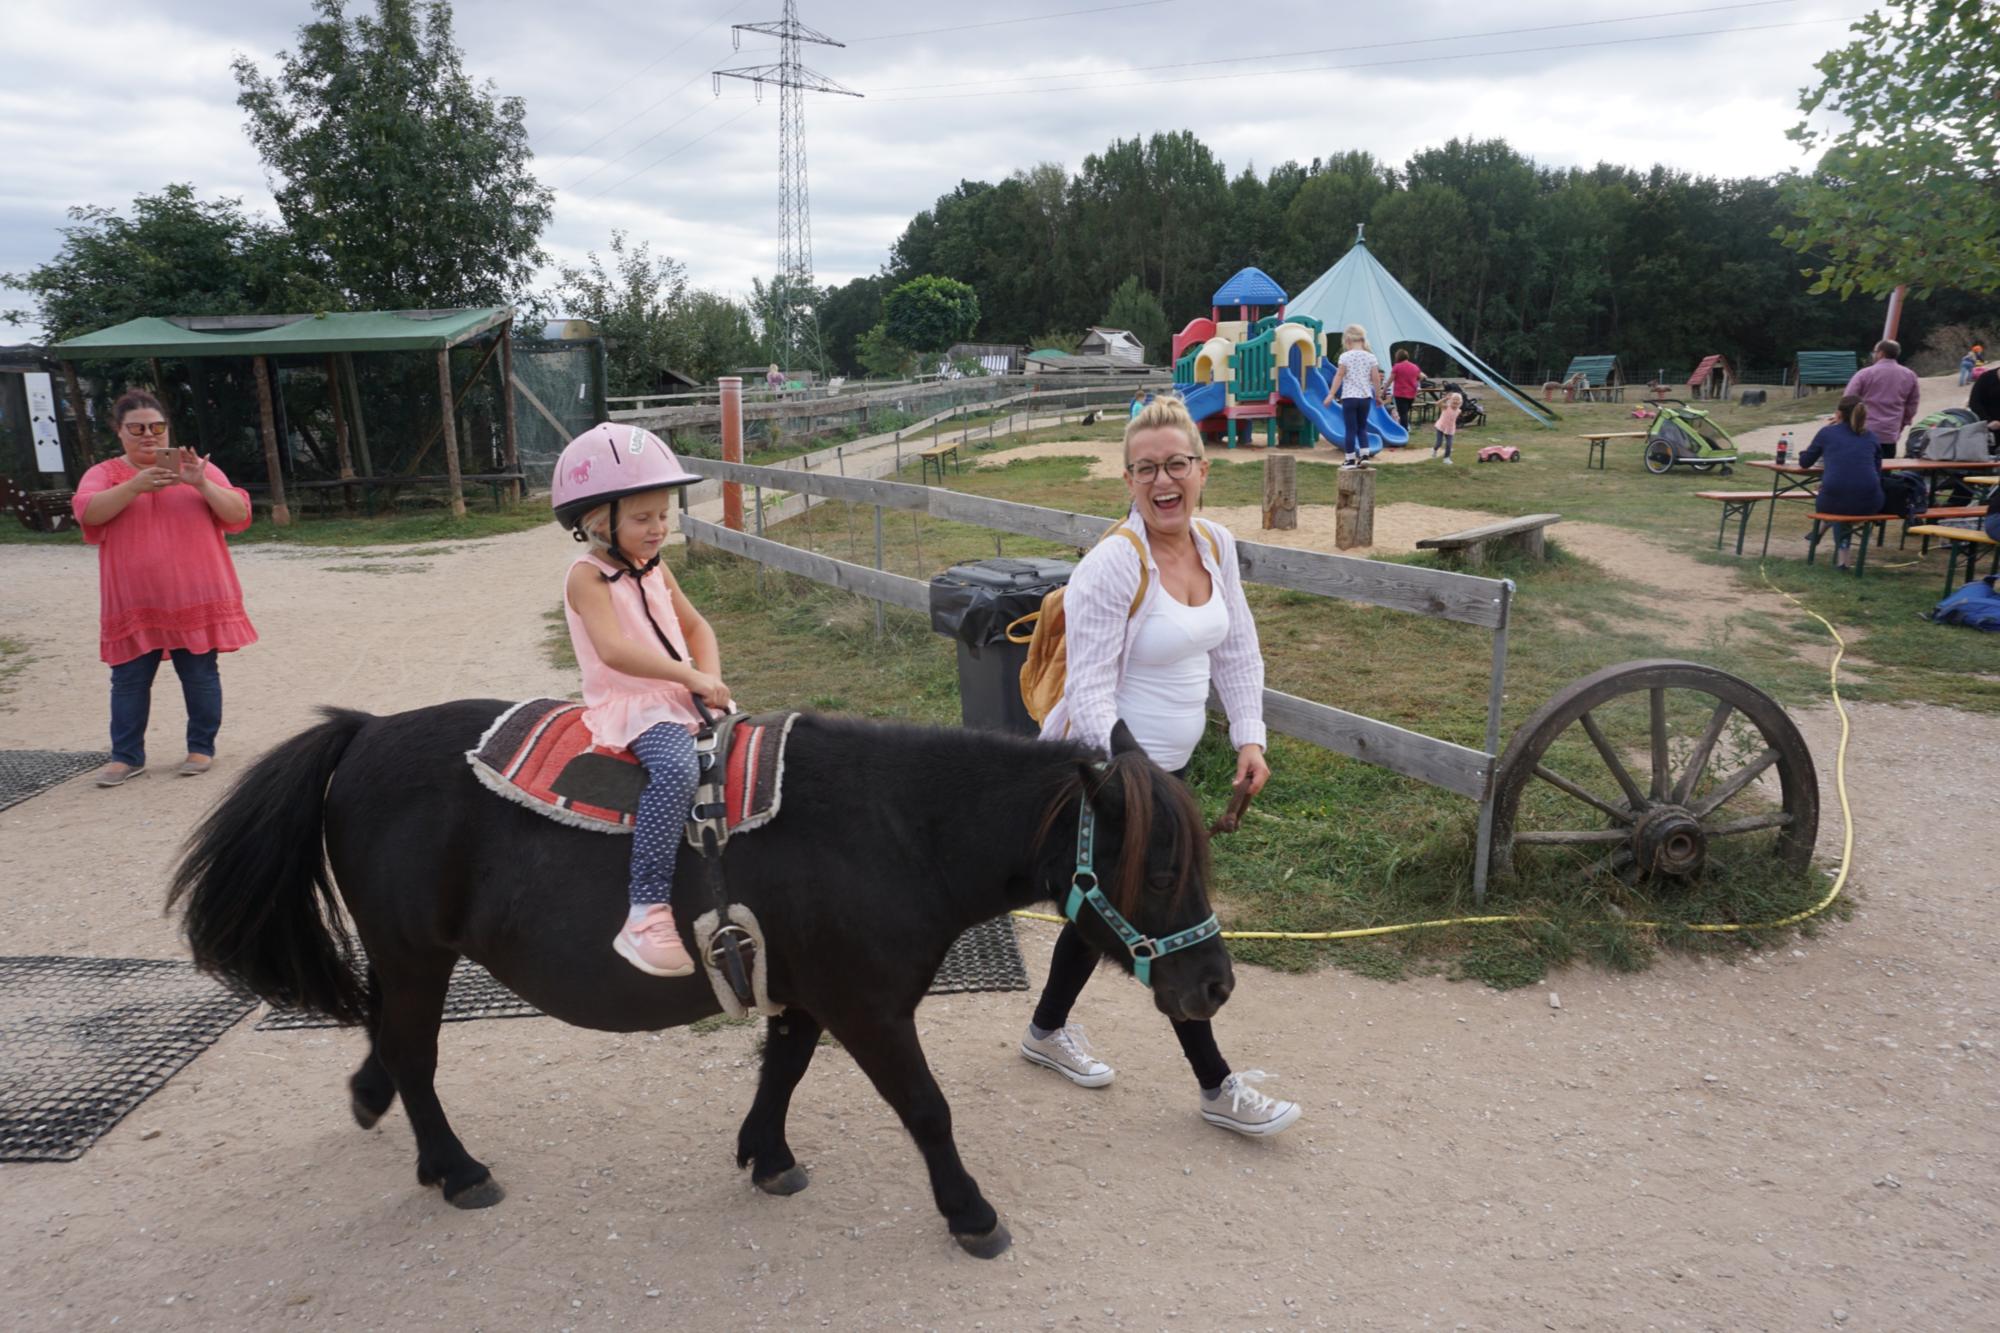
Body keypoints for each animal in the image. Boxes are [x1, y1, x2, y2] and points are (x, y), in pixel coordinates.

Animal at [172, 700, 1224, 1248]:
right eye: (1158, 868)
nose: (1213, 986)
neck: (891, 828)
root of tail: (365, 730)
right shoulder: (870, 1007)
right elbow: (927, 1110)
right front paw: (970, 1211)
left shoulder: (806, 990)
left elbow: (782, 1070)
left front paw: (767, 1154)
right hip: (417, 952)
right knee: (417, 1056)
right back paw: (456, 1166)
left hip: (408, 957)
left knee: (388, 1040)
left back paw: (382, 1109)